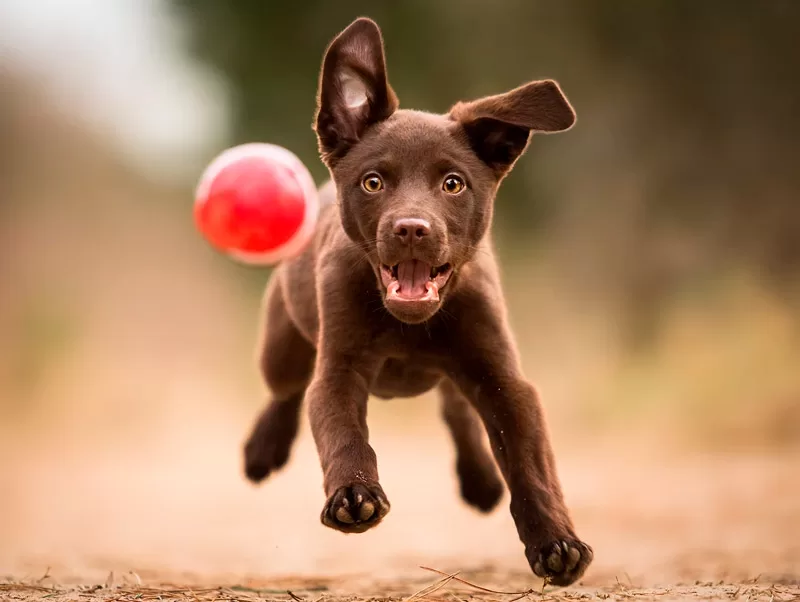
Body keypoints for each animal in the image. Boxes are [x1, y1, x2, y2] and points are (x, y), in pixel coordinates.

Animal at [241, 17, 592, 580]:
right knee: (286, 389)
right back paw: (263, 448)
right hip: (283, 337)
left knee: (457, 411)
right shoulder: (339, 367)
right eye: (373, 182)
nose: (410, 229)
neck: (407, 324)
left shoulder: (504, 379)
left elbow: (529, 462)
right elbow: (341, 427)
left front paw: (556, 541)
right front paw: (354, 494)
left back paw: (480, 479)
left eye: (453, 184)